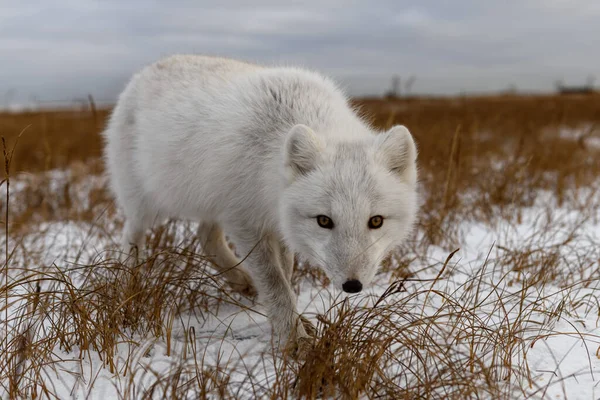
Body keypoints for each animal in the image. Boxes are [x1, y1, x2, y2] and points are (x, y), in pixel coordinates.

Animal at [103, 54, 420, 356]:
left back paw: (240, 281)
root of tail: (146, 71)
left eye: (375, 221)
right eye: (324, 221)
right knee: (132, 235)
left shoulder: (274, 221)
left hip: (214, 203)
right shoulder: (245, 222)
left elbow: (287, 274)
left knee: (205, 236)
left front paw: (295, 323)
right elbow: (276, 285)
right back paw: (130, 285)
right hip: (149, 207)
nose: (352, 286)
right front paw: (294, 340)